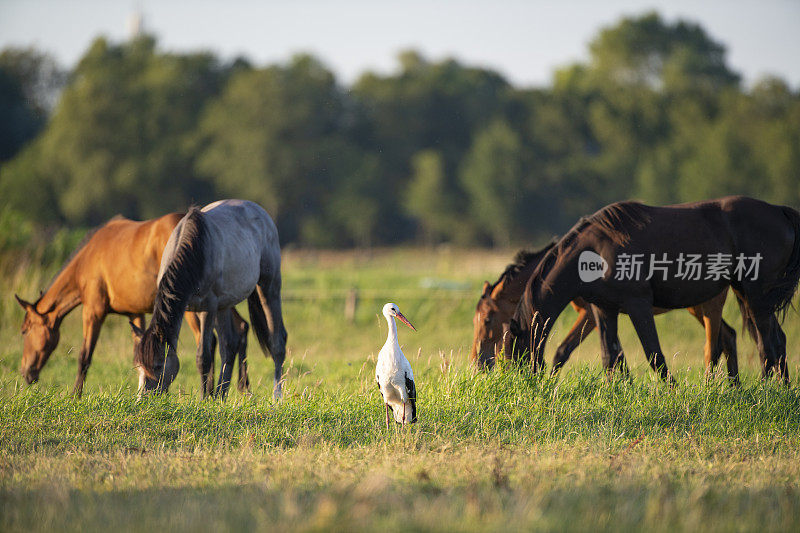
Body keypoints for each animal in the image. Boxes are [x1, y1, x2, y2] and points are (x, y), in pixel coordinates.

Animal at [16, 212, 250, 394]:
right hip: (223, 298)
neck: (87, 258)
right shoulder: (135, 313)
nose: (25, 372)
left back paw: (212, 391)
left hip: (191, 308)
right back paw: (240, 388)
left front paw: (75, 395)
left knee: (210, 341)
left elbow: (84, 356)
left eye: (25, 331)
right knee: (240, 328)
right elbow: (140, 348)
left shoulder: (93, 311)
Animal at [134, 200, 288, 400]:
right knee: (229, 344)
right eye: (138, 367)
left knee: (277, 342)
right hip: (225, 304)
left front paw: (203, 398)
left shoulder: (208, 307)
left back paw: (277, 394)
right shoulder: (197, 309)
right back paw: (221, 394)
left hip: (269, 287)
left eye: (158, 365)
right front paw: (210, 396)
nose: (143, 399)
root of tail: (261, 212)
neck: (194, 252)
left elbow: (203, 356)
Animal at [472, 245, 740, 382]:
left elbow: (563, 351)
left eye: (487, 319)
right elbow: (616, 353)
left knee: (714, 344)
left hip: (708, 305)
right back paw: (733, 387)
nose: (477, 363)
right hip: (697, 307)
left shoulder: (591, 315)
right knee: (729, 336)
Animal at [506, 197, 800, 380]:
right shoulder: (604, 310)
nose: (522, 384)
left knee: (766, 344)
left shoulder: (638, 305)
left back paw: (765, 388)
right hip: (747, 296)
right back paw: (781, 389)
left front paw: (673, 391)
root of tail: (780, 212)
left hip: (756, 296)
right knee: (775, 340)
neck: (595, 251)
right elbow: (610, 356)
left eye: (515, 352)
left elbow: (654, 354)